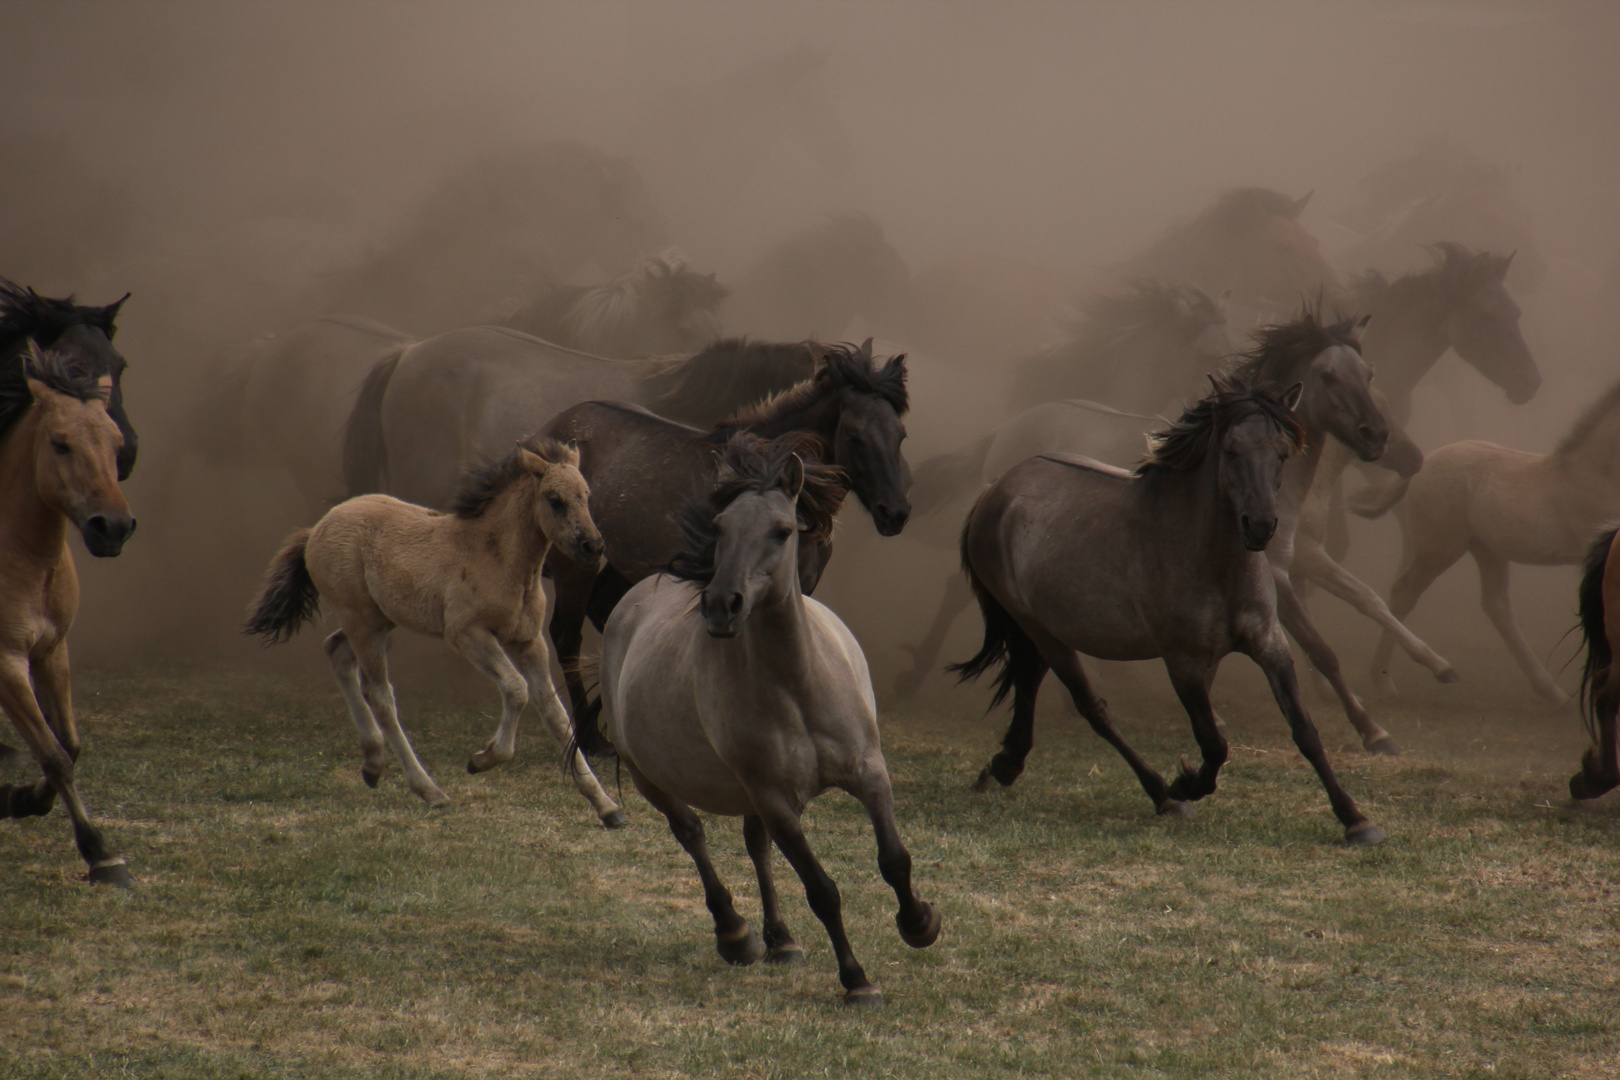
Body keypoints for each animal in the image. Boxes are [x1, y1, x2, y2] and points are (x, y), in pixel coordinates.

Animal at [0, 344, 136, 887]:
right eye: (60, 444)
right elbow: (55, 755)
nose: (113, 527)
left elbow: (68, 745)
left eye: (116, 444)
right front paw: (99, 851)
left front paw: (20, 798)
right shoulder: (7, 662)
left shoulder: (51, 651)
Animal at [243, 433, 622, 822]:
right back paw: (429, 789)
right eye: (555, 500)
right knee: (380, 695)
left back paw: (373, 763)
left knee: (336, 652)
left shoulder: (529, 641)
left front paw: (606, 805)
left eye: (587, 495)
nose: (593, 546)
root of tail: (316, 529)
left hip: (379, 620)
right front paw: (482, 759)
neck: (497, 557)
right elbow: (517, 689)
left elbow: (555, 713)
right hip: (362, 621)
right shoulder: (467, 633)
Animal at [952, 375, 1386, 848]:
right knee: (1092, 707)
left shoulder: (1269, 643)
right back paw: (1161, 794)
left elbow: (1303, 730)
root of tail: (997, 488)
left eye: (1282, 452)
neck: (1208, 558)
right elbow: (1214, 744)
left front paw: (1356, 819)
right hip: (1040, 629)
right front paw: (1186, 784)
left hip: (1045, 628)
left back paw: (1003, 766)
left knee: (1029, 682)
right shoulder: (1184, 662)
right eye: (1231, 449)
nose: (1260, 526)